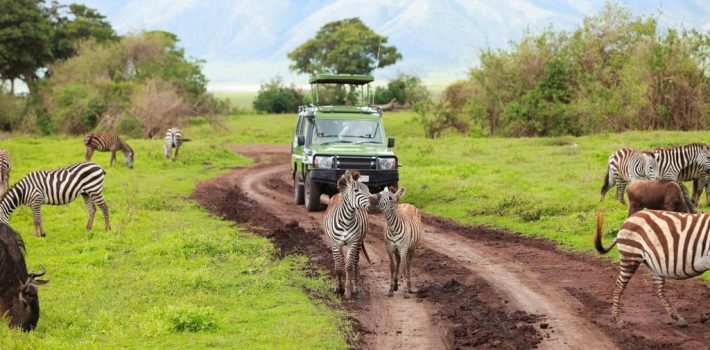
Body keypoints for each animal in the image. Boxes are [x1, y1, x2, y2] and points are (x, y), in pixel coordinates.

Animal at [324, 170, 376, 298]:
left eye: (368, 189)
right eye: (356, 191)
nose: (374, 202)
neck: (346, 220)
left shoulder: (353, 243)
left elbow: (348, 267)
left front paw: (347, 291)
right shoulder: (335, 244)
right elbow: (338, 267)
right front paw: (338, 288)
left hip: (358, 242)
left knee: (355, 263)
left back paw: (355, 287)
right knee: (343, 261)